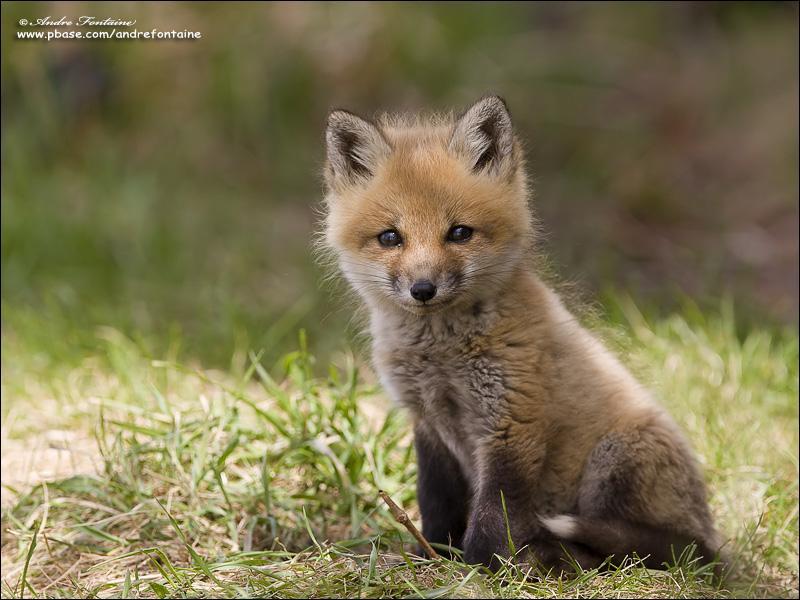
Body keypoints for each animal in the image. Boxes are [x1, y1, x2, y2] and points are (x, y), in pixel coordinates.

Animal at [318, 96, 724, 576]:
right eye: (390, 237)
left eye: (459, 232)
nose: (423, 289)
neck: (442, 358)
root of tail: (711, 544)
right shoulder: (429, 425)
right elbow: (436, 502)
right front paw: (434, 554)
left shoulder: (513, 421)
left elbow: (495, 511)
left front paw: (479, 569)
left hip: (616, 459)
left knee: (635, 552)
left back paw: (558, 555)